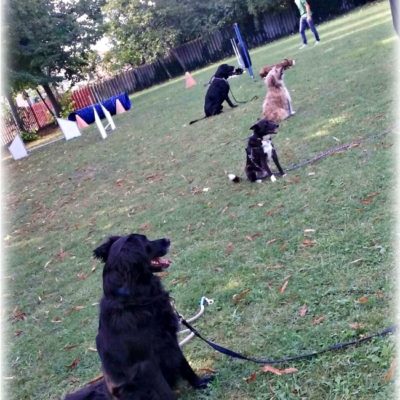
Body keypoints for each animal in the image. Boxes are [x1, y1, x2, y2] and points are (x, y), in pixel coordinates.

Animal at [64, 234, 212, 400]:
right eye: (145, 241)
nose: (168, 240)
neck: (135, 301)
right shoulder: (146, 362)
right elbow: (165, 390)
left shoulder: (171, 341)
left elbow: (185, 365)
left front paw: (200, 383)